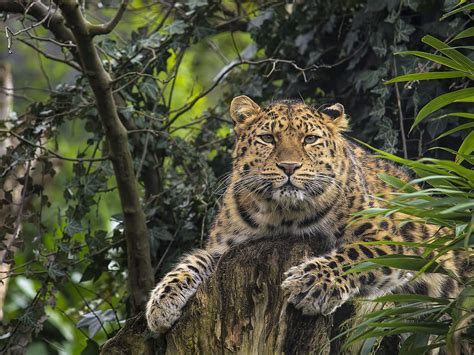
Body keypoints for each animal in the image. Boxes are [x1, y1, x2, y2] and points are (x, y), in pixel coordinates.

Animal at [144, 96, 462, 336]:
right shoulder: (226, 250)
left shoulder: (391, 239)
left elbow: (354, 255)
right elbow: (193, 261)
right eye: (267, 138)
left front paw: (311, 284)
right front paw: (161, 302)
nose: (289, 167)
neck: (284, 215)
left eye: (310, 139)